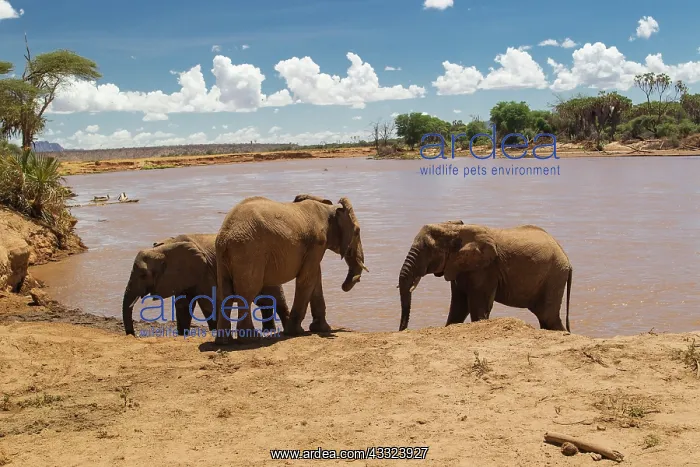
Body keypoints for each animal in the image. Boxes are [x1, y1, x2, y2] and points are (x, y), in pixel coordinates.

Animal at [122, 233, 290, 336]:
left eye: (143, 275)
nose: (133, 335)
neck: (162, 248)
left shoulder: (205, 271)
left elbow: (209, 303)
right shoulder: (181, 277)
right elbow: (182, 306)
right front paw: (183, 335)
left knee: (275, 299)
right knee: (264, 302)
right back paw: (268, 331)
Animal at [213, 194, 368, 344]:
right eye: (357, 232)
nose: (344, 285)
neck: (327, 208)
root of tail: (225, 236)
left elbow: (315, 279)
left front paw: (322, 329)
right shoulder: (316, 243)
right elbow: (307, 279)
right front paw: (296, 332)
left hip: (224, 258)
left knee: (225, 292)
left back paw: (223, 342)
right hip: (249, 253)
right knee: (247, 292)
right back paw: (250, 339)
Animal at [397, 221, 572, 333]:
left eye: (427, 249)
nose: (403, 330)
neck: (454, 228)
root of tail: (568, 260)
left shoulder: (486, 269)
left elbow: (478, 309)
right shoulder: (458, 266)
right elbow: (458, 307)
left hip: (554, 276)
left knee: (547, 316)